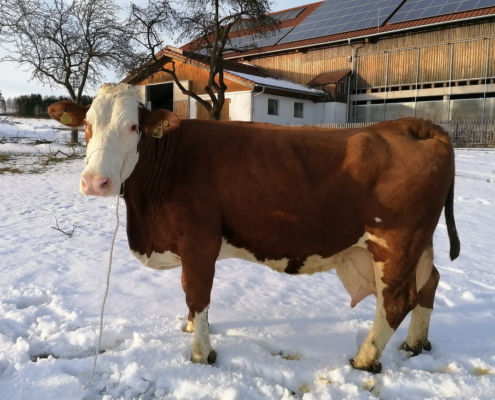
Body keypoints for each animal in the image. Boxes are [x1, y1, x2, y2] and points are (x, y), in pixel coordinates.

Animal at [49, 83, 462, 374]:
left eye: (134, 126)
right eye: (87, 126)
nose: (95, 182)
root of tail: (411, 124)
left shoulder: (199, 241)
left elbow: (196, 294)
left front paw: (201, 353)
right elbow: (191, 294)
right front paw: (191, 329)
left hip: (396, 243)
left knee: (396, 301)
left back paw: (364, 360)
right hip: (419, 245)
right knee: (430, 282)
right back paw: (415, 344)